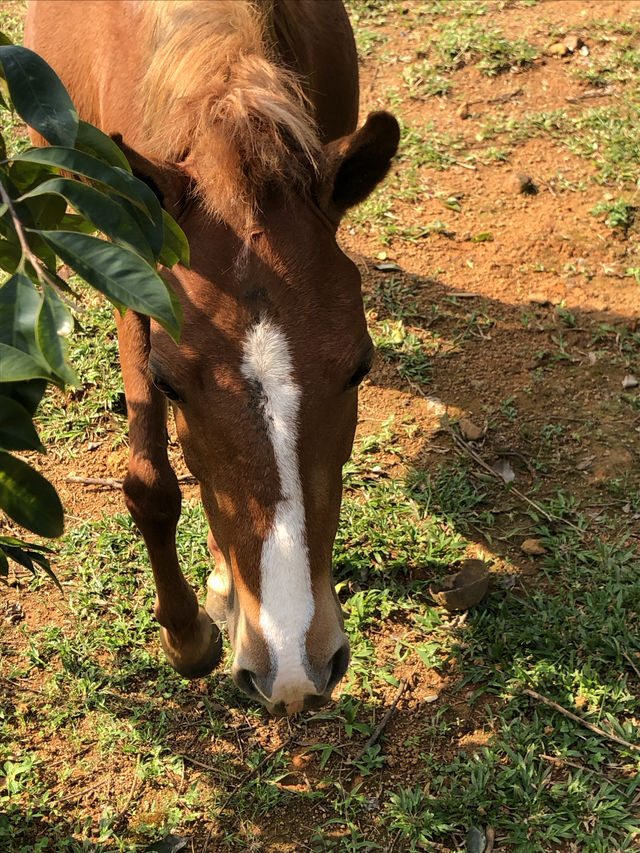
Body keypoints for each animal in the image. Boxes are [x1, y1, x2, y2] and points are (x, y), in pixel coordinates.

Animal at [26, 3, 400, 716]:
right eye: (169, 384)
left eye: (359, 367)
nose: (294, 668)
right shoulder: (134, 281)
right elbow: (151, 484)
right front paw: (187, 638)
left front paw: (227, 591)